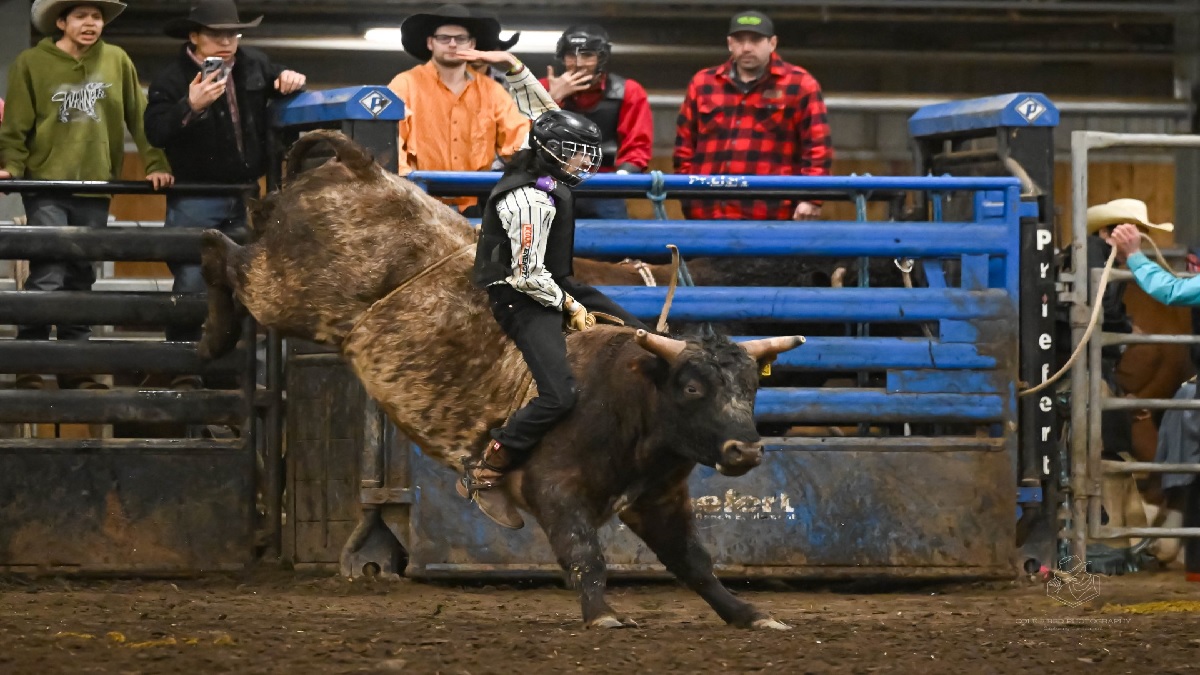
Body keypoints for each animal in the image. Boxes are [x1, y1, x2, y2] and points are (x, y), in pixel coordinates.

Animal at [199, 130, 806, 624]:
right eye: (692, 387)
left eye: (752, 387)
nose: (746, 451)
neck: (632, 395)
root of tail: (361, 168)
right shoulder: (556, 488)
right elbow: (584, 554)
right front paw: (604, 615)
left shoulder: (657, 500)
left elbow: (695, 563)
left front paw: (750, 615)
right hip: (286, 291)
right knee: (222, 253)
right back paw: (213, 336)